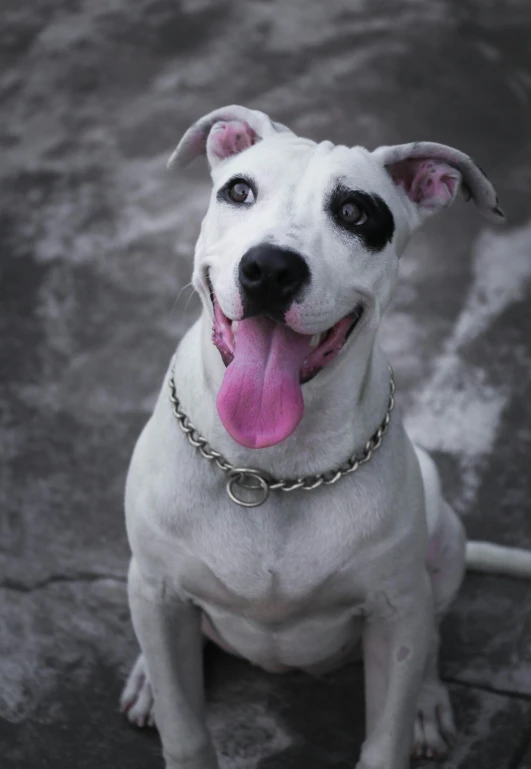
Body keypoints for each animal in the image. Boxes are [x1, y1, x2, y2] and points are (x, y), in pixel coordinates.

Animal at [118, 106, 531, 768]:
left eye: (356, 213)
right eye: (239, 191)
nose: (270, 268)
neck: (269, 469)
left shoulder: (395, 610)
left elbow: (386, 735)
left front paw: (409, 714)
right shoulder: (156, 589)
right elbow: (186, 732)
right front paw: (167, 703)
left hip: (442, 544)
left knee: (432, 637)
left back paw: (427, 703)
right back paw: (146, 683)